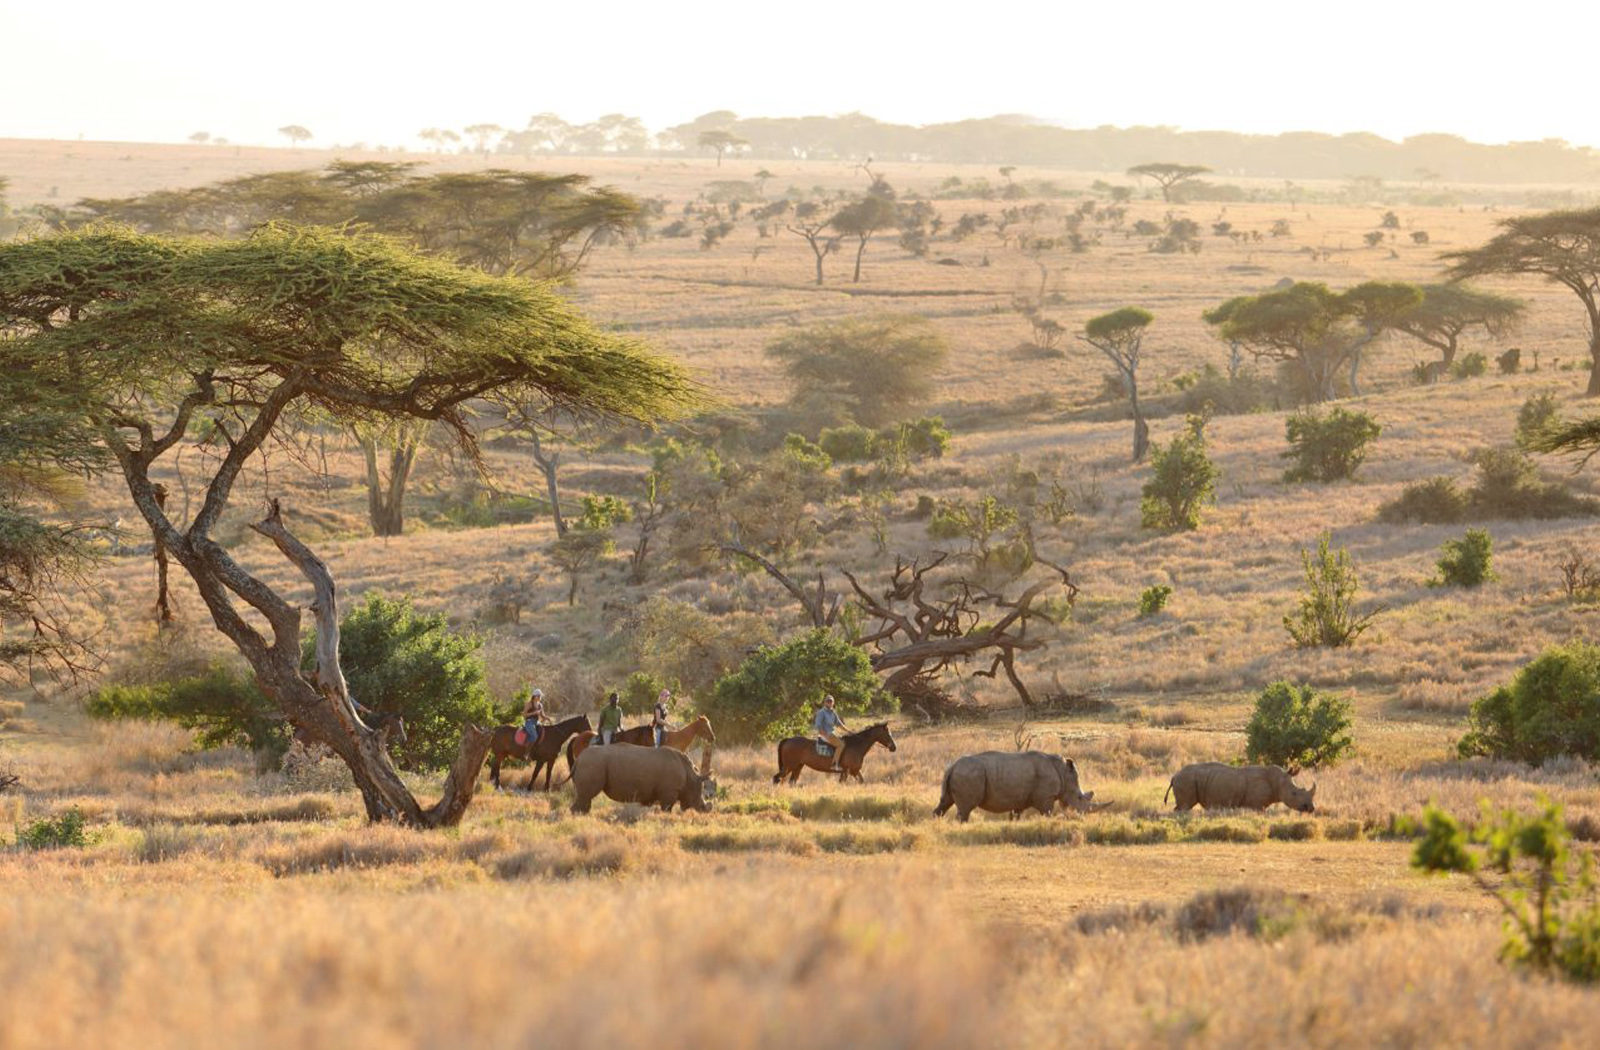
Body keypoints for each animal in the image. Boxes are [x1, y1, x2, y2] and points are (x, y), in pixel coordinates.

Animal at [563, 742, 713, 816]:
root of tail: (579, 760)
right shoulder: (669, 792)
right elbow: (667, 809)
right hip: (592, 764)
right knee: (586, 796)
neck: (691, 776)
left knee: (585, 797)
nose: (705, 810)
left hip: (591, 764)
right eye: (700, 793)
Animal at [934, 749, 1100, 825]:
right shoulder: (1046, 797)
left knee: (945, 802)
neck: (1064, 773)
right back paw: (962, 825)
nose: (1083, 815)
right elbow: (1047, 813)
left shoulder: (1020, 799)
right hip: (968, 773)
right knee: (965, 809)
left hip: (958, 773)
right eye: (1079, 797)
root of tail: (952, 766)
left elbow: (1016, 815)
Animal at [1164, 768, 1312, 816]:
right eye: (1294, 793)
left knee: (1182, 806)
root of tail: (1174, 776)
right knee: (1185, 806)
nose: (1310, 808)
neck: (1278, 781)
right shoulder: (1258, 805)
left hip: (1186, 780)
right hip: (1186, 779)